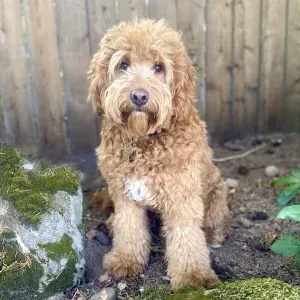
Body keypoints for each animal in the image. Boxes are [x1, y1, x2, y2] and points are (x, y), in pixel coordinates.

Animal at [88, 19, 229, 290]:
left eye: (158, 67)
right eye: (123, 64)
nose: (139, 96)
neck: (143, 140)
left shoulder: (182, 196)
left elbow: (186, 236)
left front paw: (192, 276)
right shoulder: (124, 193)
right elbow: (129, 227)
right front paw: (126, 258)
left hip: (217, 191)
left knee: (210, 222)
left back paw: (211, 234)